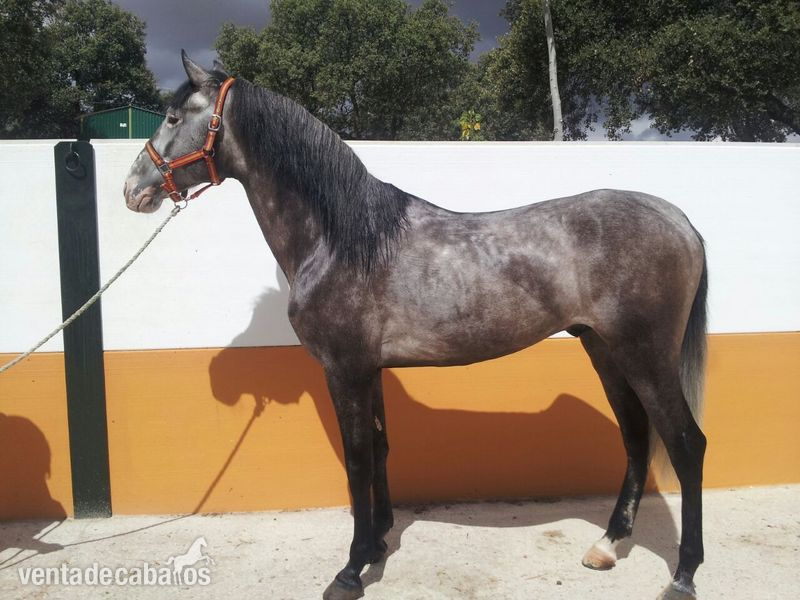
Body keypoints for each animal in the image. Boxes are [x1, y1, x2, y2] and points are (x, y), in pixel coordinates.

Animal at [124, 52, 708, 600]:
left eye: (173, 116)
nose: (133, 189)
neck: (340, 239)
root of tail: (679, 220)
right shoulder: (370, 369)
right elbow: (381, 448)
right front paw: (379, 541)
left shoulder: (345, 369)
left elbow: (357, 460)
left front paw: (351, 570)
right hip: (605, 350)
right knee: (636, 437)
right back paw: (607, 546)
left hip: (644, 354)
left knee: (685, 443)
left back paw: (683, 575)